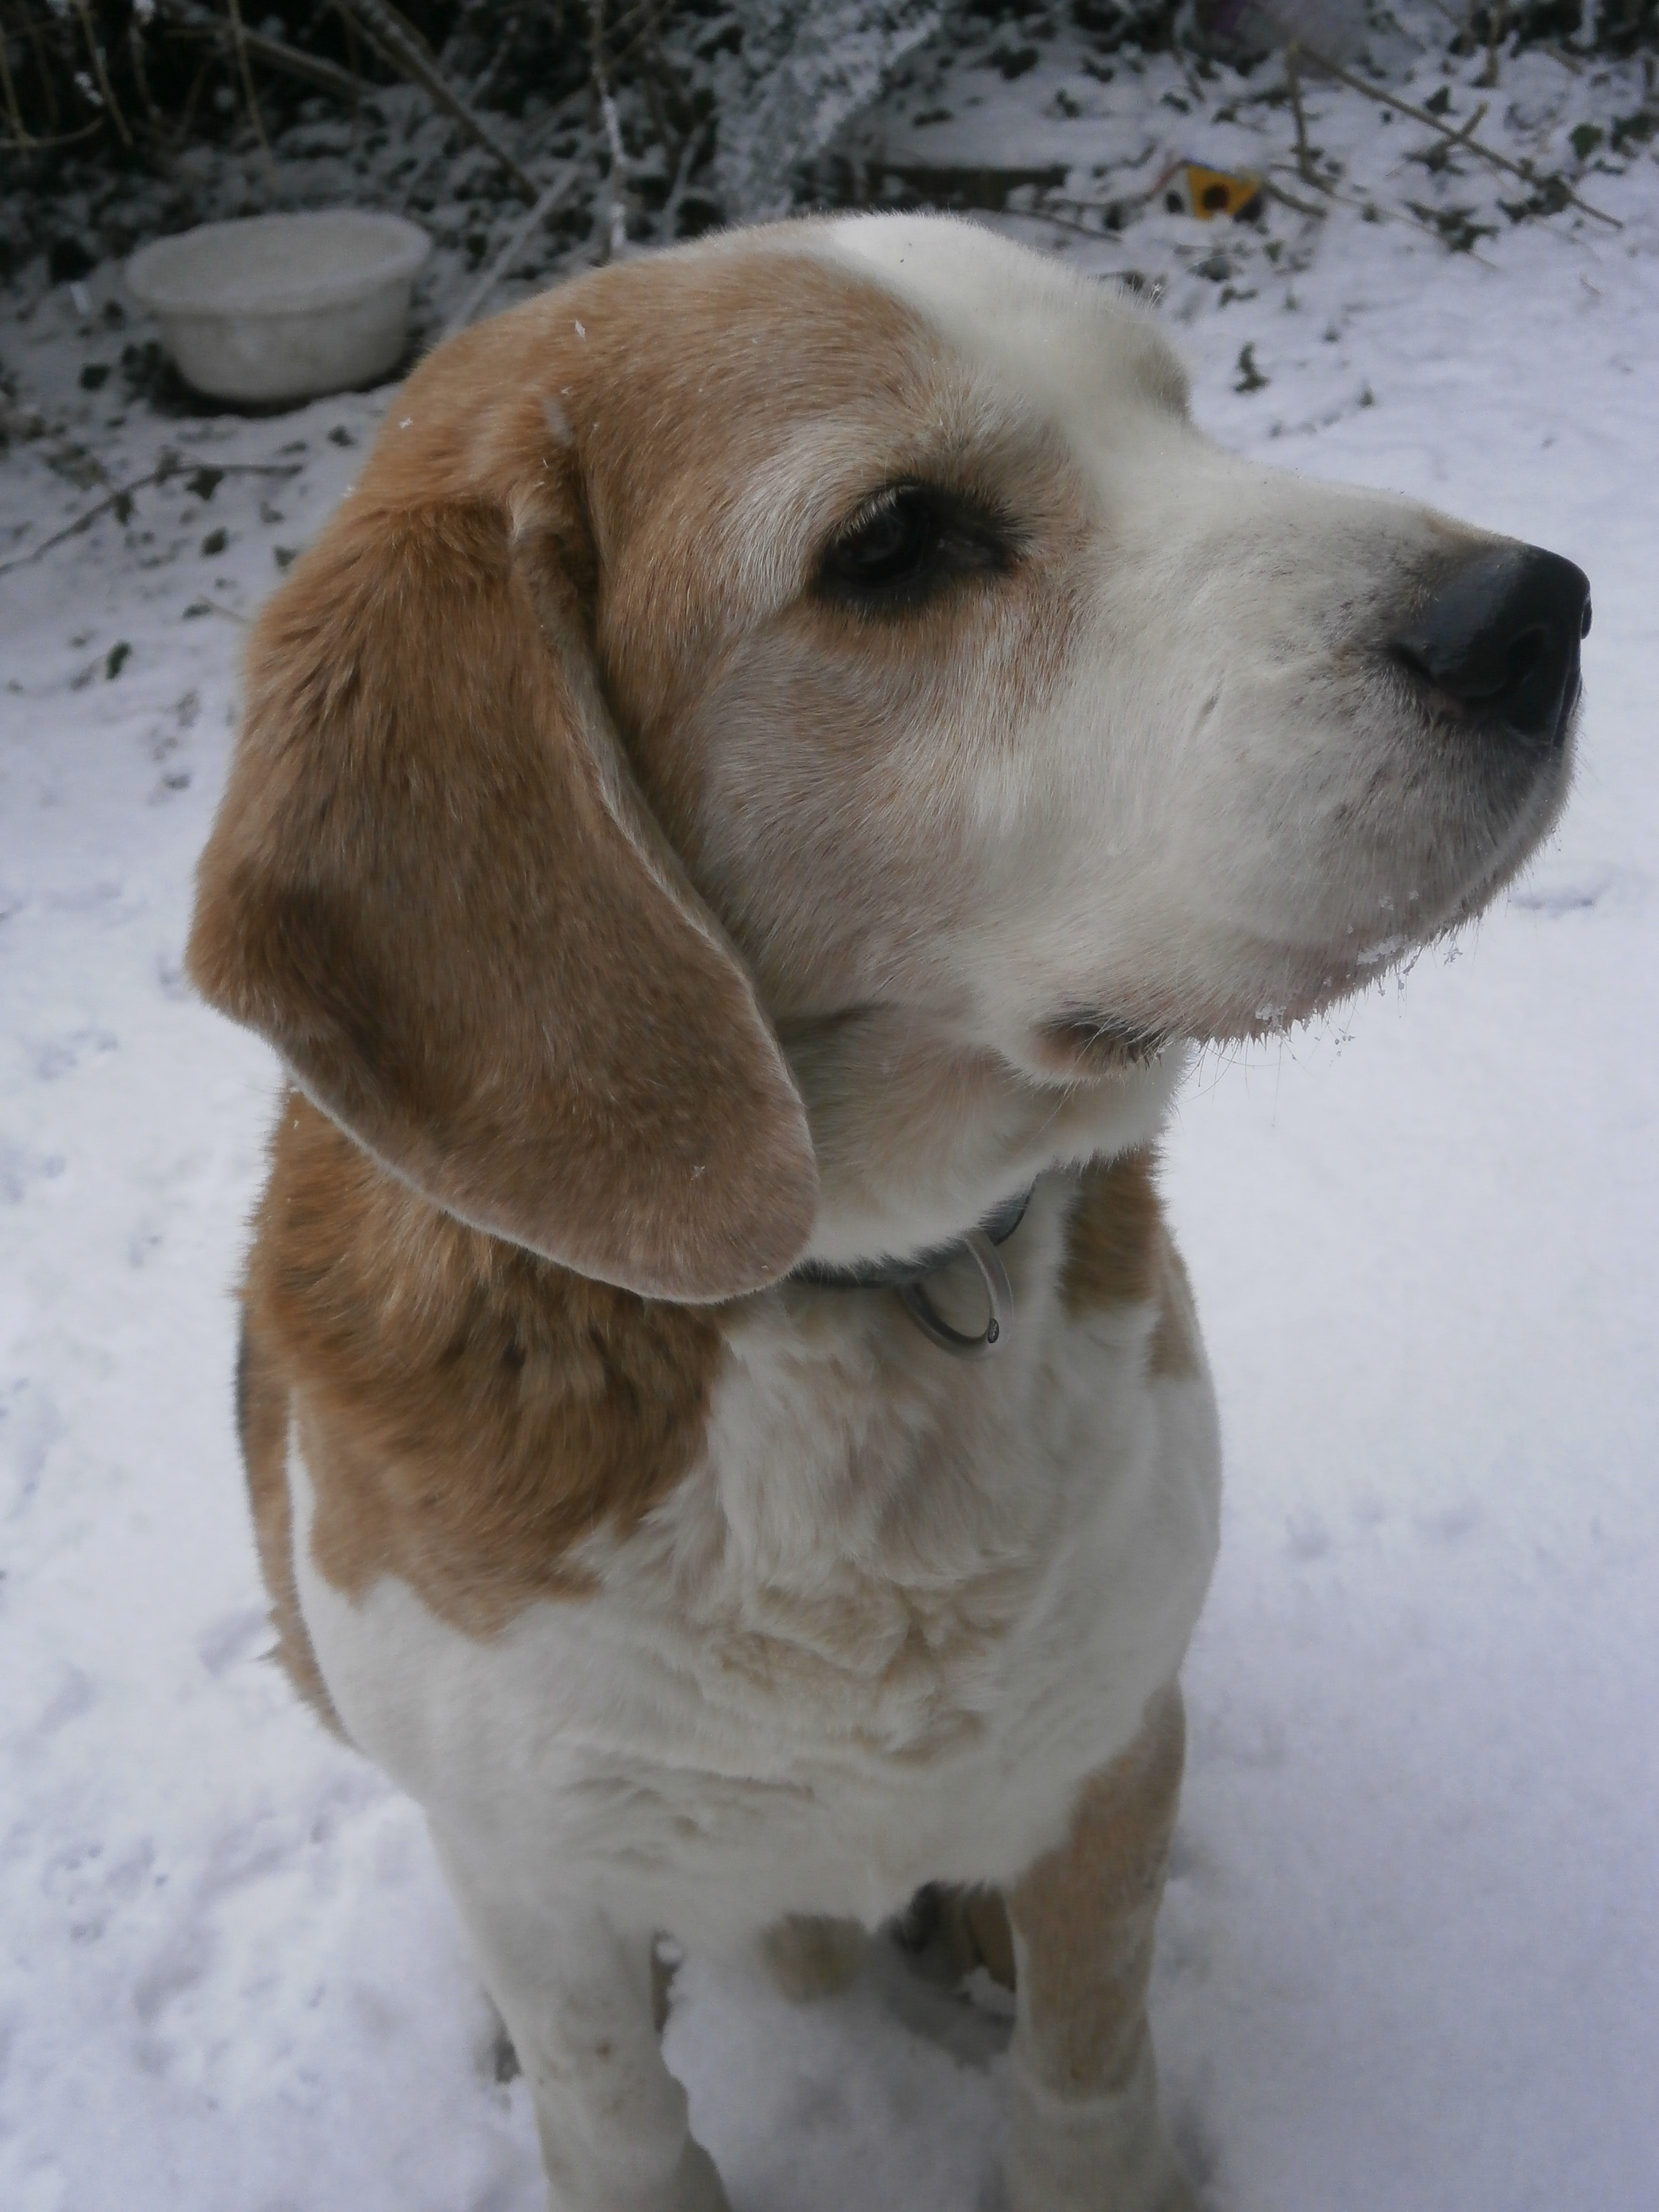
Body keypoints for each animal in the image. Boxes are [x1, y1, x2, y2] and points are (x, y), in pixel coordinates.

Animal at [188, 211, 1592, 2212]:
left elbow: (1087, 2071)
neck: (840, 1312)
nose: (1537, 613)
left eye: (1172, 413)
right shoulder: (535, 1876)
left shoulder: (1108, 1755)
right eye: (895, 544)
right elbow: (619, 2117)